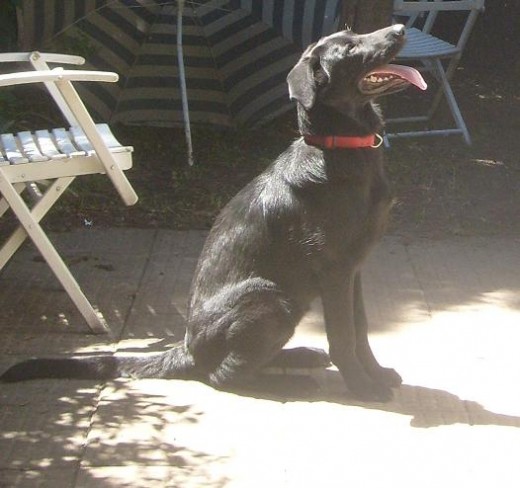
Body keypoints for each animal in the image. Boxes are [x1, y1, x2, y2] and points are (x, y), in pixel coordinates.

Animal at [2, 24, 426, 402]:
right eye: (350, 48)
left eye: (356, 33)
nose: (401, 28)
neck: (338, 147)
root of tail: (187, 349)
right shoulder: (336, 268)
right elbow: (343, 337)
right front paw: (363, 388)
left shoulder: (354, 268)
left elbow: (361, 330)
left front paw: (376, 374)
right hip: (270, 299)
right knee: (221, 377)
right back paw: (292, 383)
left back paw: (299, 356)